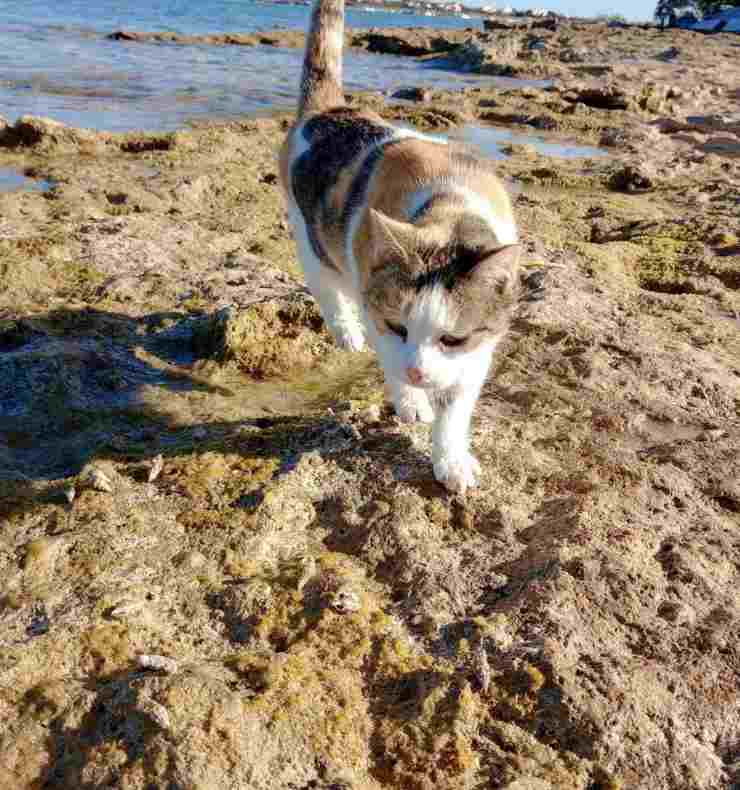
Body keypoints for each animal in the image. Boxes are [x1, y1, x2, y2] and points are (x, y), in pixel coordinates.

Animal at [278, 0, 520, 496]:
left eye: (453, 338)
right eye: (399, 325)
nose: (418, 373)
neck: (449, 205)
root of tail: (327, 111)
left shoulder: (479, 348)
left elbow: (456, 408)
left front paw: (451, 459)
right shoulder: (376, 310)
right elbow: (389, 359)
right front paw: (411, 402)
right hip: (313, 241)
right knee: (329, 291)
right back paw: (347, 333)